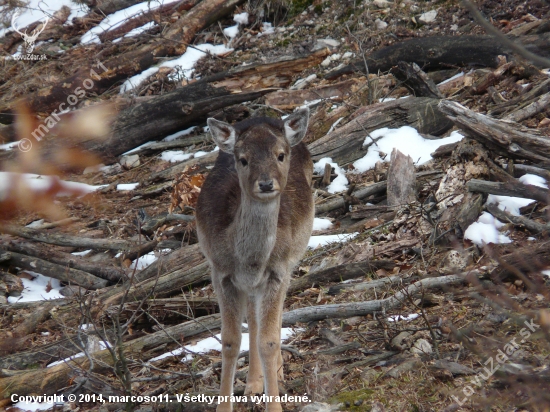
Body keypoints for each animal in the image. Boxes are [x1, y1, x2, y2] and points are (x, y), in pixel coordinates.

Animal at [197, 108, 314, 410]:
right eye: (243, 159)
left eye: (280, 155)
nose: (265, 183)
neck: (249, 260)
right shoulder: (220, 273)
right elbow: (229, 342)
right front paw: (225, 405)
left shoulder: (277, 271)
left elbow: (268, 341)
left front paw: (274, 404)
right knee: (252, 316)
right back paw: (252, 384)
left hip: (291, 260)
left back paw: (277, 374)